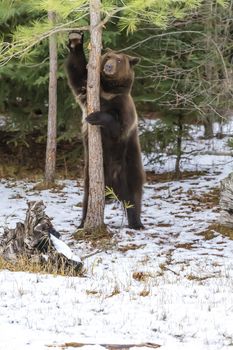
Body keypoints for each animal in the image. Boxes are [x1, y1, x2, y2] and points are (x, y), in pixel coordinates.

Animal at [65, 30, 145, 230]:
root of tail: (112, 189)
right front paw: (75, 39)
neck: (109, 90)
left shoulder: (124, 106)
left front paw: (94, 117)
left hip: (129, 165)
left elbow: (119, 127)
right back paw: (82, 223)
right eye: (107, 57)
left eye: (119, 60)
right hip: (90, 176)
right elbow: (77, 73)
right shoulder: (88, 91)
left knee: (134, 197)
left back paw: (136, 223)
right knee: (87, 199)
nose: (108, 66)